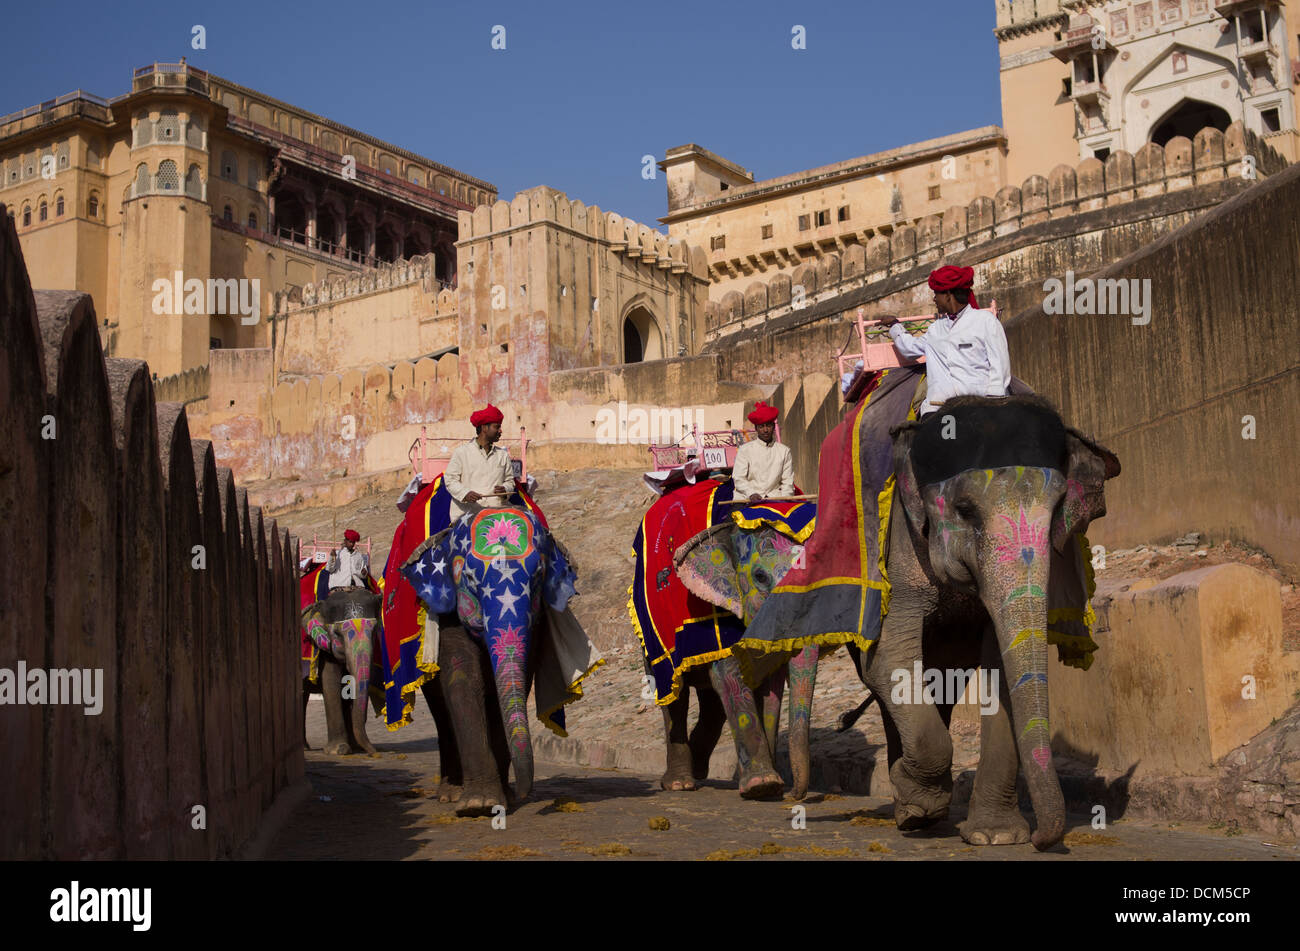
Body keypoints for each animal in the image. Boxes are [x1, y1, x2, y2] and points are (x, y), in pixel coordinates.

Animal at [301, 582, 382, 753]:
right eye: (337, 634)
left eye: (373, 631)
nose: (374, 752)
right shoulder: (325, 649)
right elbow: (331, 681)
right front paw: (339, 750)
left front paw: (356, 747)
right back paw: (305, 748)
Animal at [403, 504, 592, 815]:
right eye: (469, 579)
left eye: (538, 577)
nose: (524, 793)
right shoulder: (447, 613)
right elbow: (463, 679)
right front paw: (478, 804)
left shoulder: (536, 620)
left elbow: (512, 683)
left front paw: (502, 798)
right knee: (440, 710)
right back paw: (451, 793)